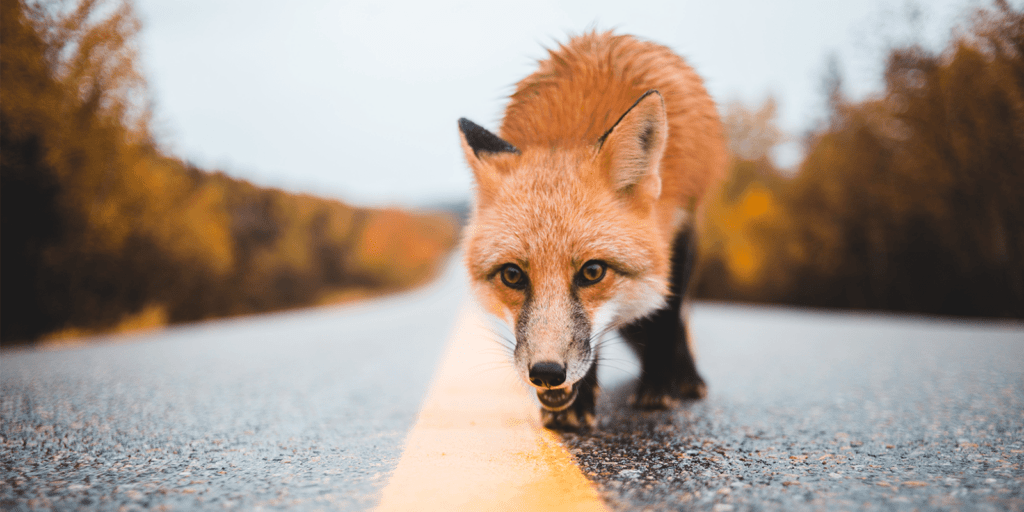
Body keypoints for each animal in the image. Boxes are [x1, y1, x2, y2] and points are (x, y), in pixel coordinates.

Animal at [456, 30, 729, 432]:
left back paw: (684, 377)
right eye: (512, 275)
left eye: (593, 272)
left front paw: (657, 388)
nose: (547, 373)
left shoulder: (679, 226)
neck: (569, 131)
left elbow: (665, 318)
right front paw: (578, 403)